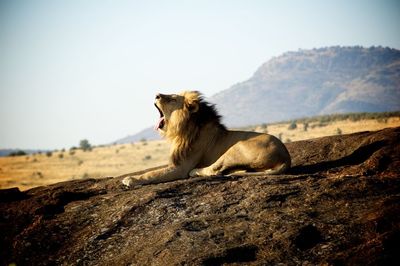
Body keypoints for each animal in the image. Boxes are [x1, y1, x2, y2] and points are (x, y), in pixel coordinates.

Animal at [122, 91, 290, 187]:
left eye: (172, 99)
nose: (156, 95)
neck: (182, 129)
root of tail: (285, 157)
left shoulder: (181, 167)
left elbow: (152, 173)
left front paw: (130, 179)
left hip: (235, 148)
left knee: (215, 170)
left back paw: (195, 172)